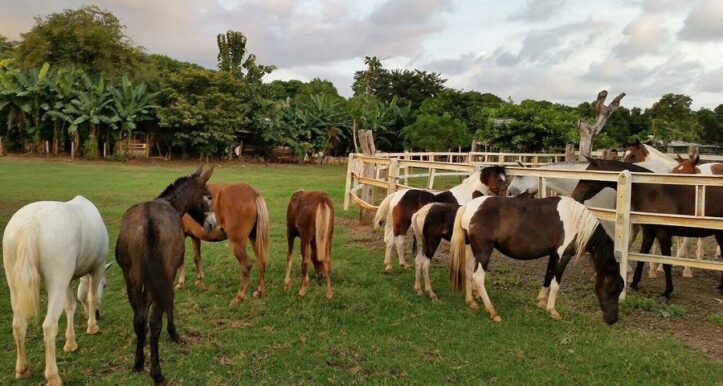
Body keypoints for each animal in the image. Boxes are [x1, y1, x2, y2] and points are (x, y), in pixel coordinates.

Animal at [2, 196, 110, 386]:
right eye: (104, 285)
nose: (98, 314)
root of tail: (31, 223)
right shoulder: (96, 268)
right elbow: (91, 296)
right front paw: (92, 326)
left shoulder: (68, 280)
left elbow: (70, 306)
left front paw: (71, 343)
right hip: (56, 284)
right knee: (49, 326)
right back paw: (53, 376)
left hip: (15, 286)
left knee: (18, 325)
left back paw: (22, 369)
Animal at [116, 165, 216, 382]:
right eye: (209, 196)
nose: (213, 224)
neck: (171, 203)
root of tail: (149, 222)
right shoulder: (168, 275)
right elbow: (170, 302)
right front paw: (173, 334)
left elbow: (143, 313)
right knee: (155, 322)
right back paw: (156, 372)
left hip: (132, 278)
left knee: (139, 320)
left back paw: (138, 363)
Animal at [374, 165, 510, 272]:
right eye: (499, 179)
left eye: (506, 179)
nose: (505, 196)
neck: (467, 195)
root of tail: (397, 194)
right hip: (400, 224)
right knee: (391, 241)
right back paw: (389, 267)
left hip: (403, 224)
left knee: (398, 242)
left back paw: (403, 265)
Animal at [446, 196, 624, 326]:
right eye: (613, 289)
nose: (612, 320)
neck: (577, 222)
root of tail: (468, 207)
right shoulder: (563, 255)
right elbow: (556, 283)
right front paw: (552, 310)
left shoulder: (553, 254)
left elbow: (548, 277)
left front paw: (541, 302)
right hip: (484, 252)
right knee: (478, 277)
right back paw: (493, 312)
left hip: (474, 250)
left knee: (468, 270)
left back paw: (471, 302)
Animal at [572, 158, 723, 302]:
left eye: (589, 174)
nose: (575, 196)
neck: (654, 193)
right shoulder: (649, 233)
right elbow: (641, 257)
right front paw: (634, 285)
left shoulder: (663, 235)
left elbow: (666, 263)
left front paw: (666, 292)